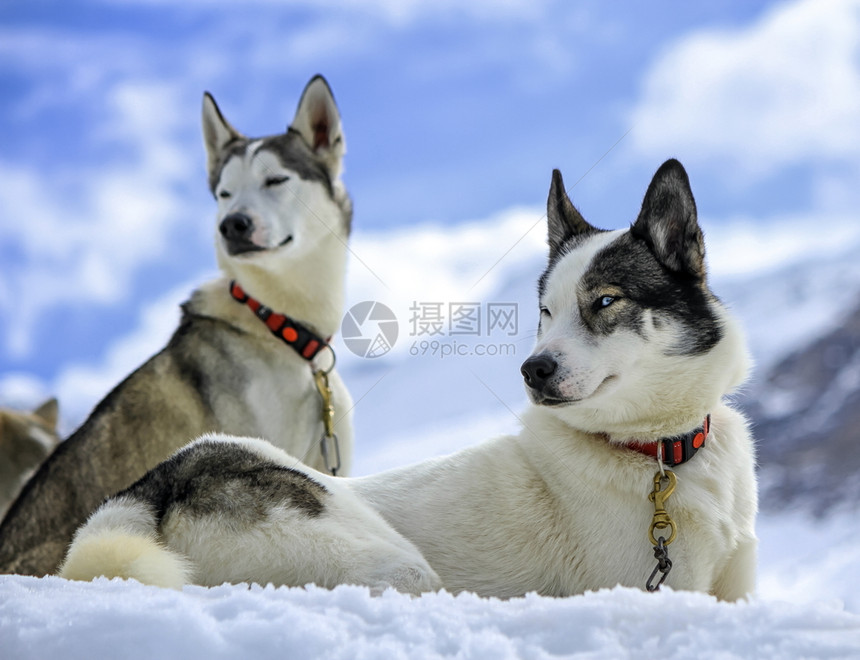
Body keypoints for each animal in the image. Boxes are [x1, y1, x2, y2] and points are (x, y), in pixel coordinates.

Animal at [62, 161, 760, 604]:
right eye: (546, 311)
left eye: (606, 301)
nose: (533, 370)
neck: (659, 457)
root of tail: (155, 485)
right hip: (395, 565)